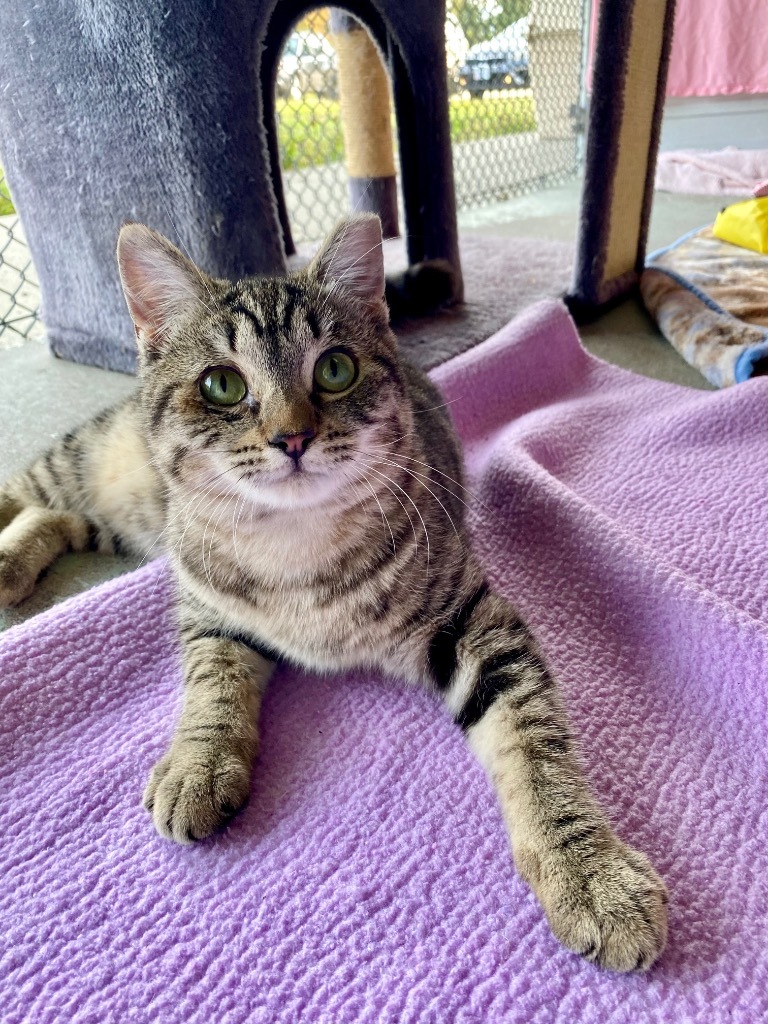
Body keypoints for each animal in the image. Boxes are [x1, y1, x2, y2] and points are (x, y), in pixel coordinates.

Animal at [0, 214, 667, 966]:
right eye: (222, 385)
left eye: (335, 369)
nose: (292, 436)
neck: (296, 548)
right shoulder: (206, 609)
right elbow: (211, 686)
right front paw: (198, 764)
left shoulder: (473, 619)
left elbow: (535, 742)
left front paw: (591, 871)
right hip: (97, 469)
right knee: (25, 491)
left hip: (118, 516)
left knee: (56, 516)